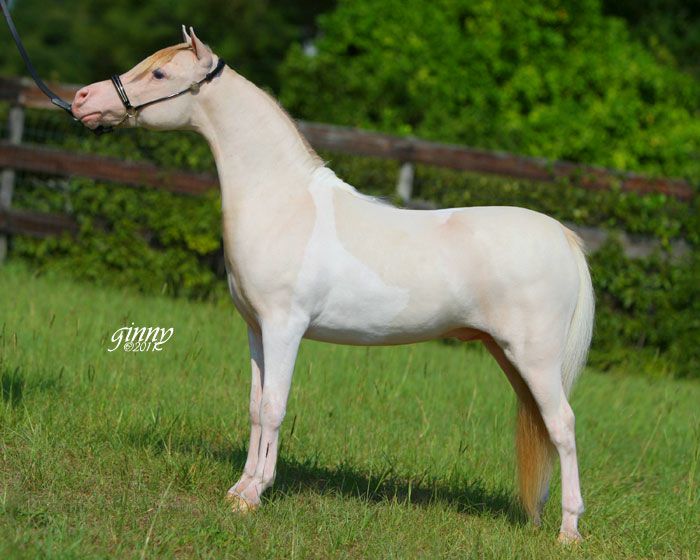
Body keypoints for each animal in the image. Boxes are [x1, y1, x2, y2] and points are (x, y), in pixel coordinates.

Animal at [71, 27, 594, 543]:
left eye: (160, 73)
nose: (82, 99)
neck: (283, 202)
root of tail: (563, 237)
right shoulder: (256, 330)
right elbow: (255, 407)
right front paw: (238, 490)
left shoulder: (285, 327)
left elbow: (275, 407)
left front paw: (255, 495)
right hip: (508, 355)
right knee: (544, 426)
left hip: (534, 358)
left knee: (564, 426)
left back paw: (568, 529)